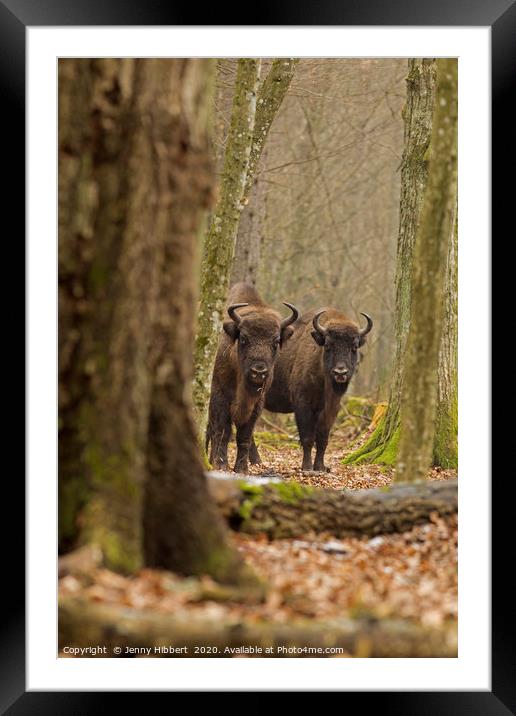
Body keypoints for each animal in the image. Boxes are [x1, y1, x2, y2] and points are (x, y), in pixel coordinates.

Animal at [205, 282, 296, 472]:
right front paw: (220, 464)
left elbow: (245, 436)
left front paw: (241, 468)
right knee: (211, 430)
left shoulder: (257, 403)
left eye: (276, 341)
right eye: (244, 338)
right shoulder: (220, 397)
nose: (259, 371)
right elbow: (222, 431)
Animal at [264, 306, 372, 470]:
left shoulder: (331, 408)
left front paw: (320, 467)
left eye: (354, 347)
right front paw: (307, 467)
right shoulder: (302, 405)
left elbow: (322, 438)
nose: (340, 372)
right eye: (328, 345)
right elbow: (307, 437)